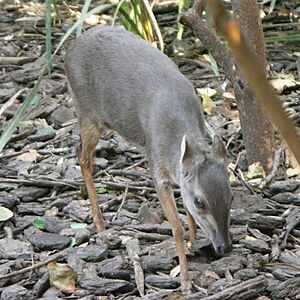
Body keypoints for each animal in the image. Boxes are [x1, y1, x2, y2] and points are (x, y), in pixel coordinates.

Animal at [63, 26, 233, 292]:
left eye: (231, 196)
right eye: (201, 202)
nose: (224, 247)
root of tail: (71, 48)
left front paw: (194, 240)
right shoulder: (157, 167)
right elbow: (175, 226)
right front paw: (185, 281)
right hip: (88, 113)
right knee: (82, 157)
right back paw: (100, 224)